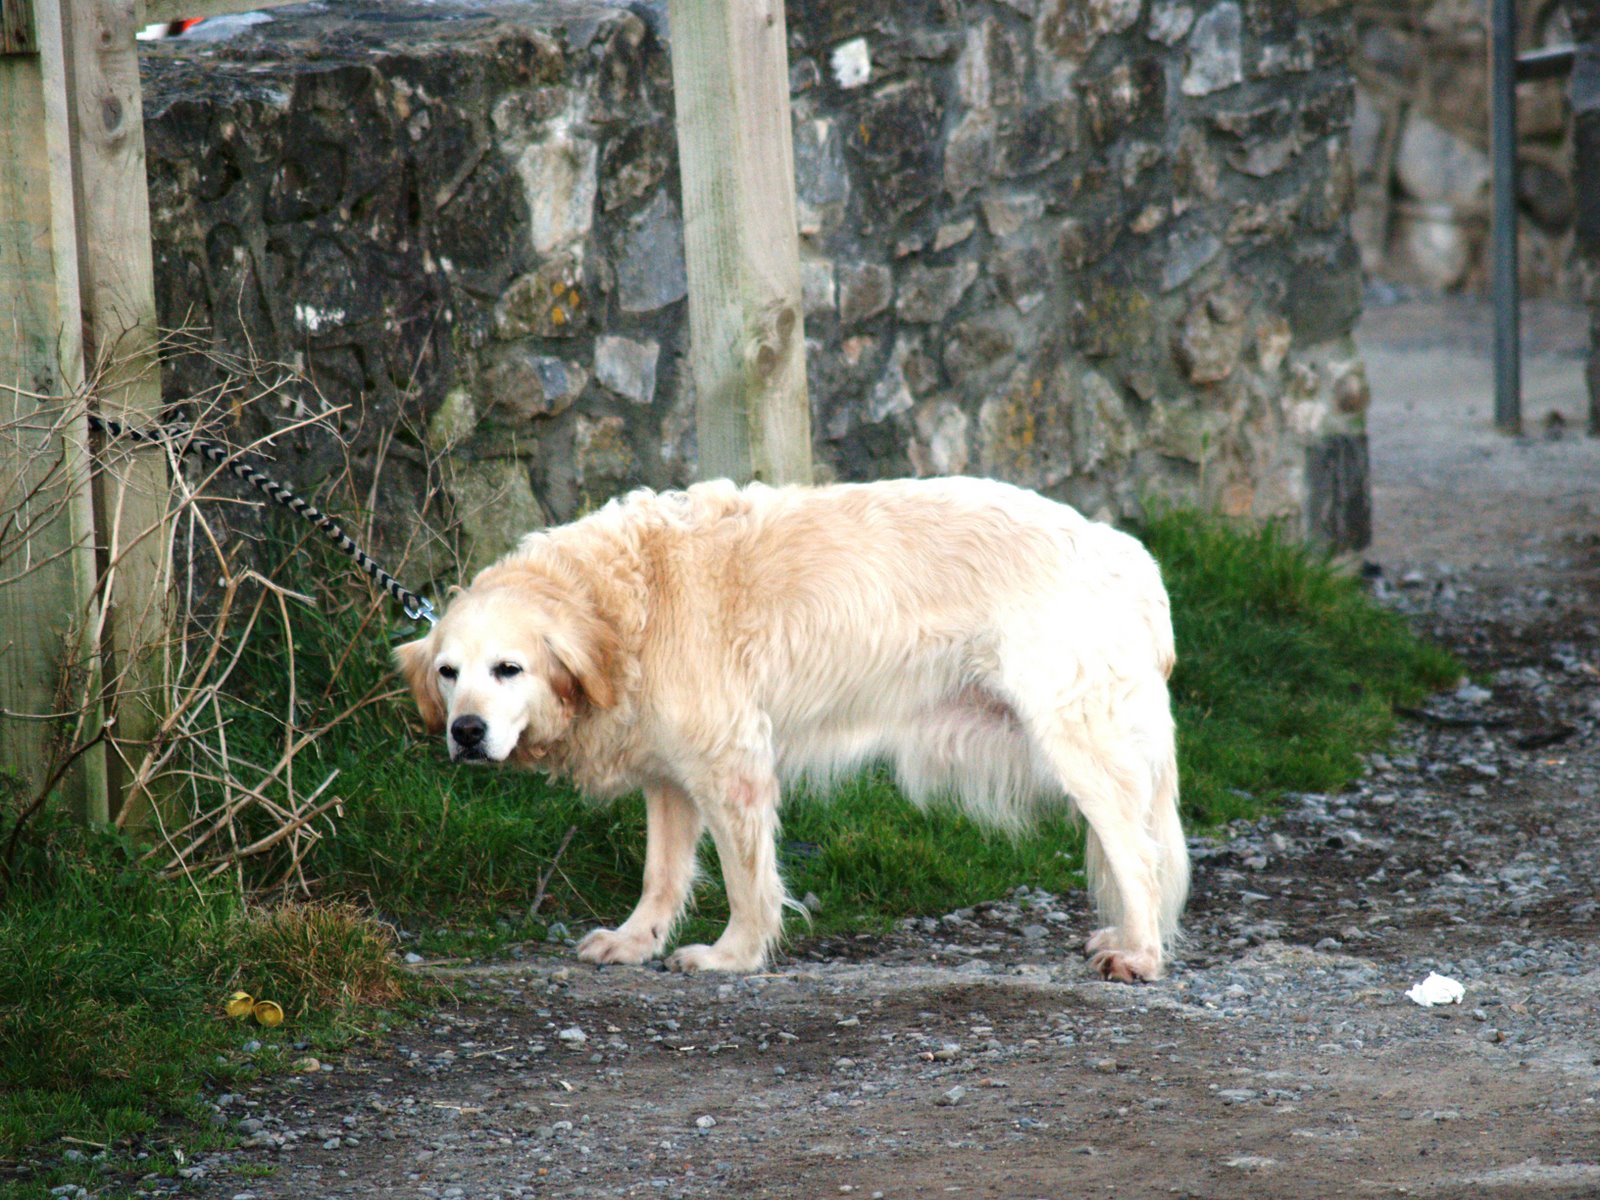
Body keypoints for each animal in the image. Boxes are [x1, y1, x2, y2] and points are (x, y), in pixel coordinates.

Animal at [393, 473, 1184, 979]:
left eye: (509, 669)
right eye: (448, 673)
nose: (465, 733)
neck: (624, 606)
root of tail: (1125, 552)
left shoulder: (731, 764)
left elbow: (746, 881)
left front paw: (733, 956)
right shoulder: (669, 777)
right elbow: (661, 874)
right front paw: (636, 942)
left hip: (1079, 746)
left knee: (1138, 856)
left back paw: (1140, 955)